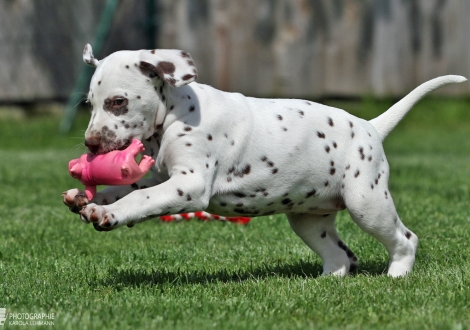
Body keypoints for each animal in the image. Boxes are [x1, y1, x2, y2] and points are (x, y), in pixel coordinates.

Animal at [63, 43, 466, 276]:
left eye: (117, 102)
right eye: (89, 104)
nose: (91, 144)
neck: (176, 112)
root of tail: (370, 126)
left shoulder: (189, 184)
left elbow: (140, 198)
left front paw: (108, 214)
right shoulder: (162, 176)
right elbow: (130, 187)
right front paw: (88, 199)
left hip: (367, 204)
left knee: (405, 238)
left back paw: (396, 275)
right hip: (309, 220)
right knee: (339, 258)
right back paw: (323, 284)